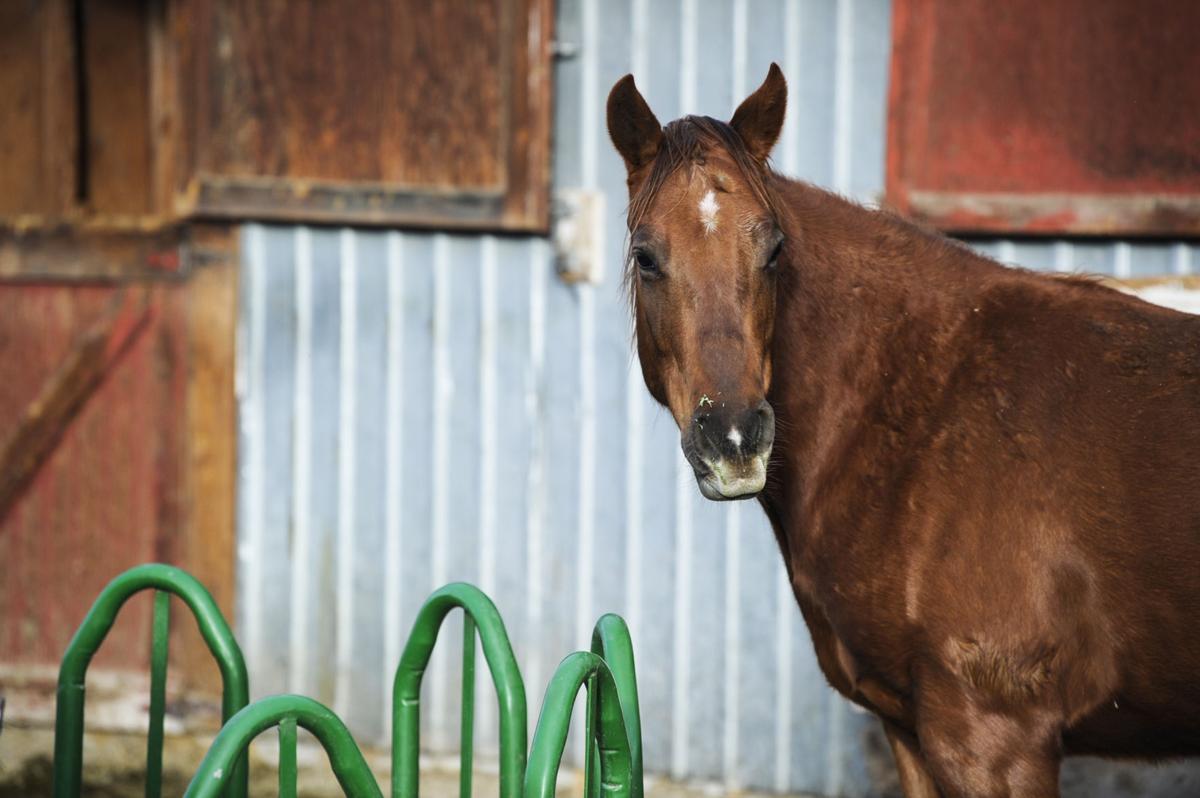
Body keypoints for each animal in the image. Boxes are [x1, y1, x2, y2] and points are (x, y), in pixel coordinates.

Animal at [607, 64, 1200, 797]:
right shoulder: (910, 729)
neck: (926, 405)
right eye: (646, 255)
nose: (736, 440)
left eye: (774, 249)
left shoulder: (993, 738)